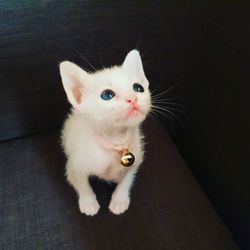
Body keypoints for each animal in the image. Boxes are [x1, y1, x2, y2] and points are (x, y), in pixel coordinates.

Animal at [59, 49, 151, 216]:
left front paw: (119, 200)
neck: (116, 140)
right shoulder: (75, 164)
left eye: (138, 88)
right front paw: (88, 202)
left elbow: (127, 178)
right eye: (107, 95)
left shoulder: (135, 159)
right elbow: (81, 182)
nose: (132, 98)